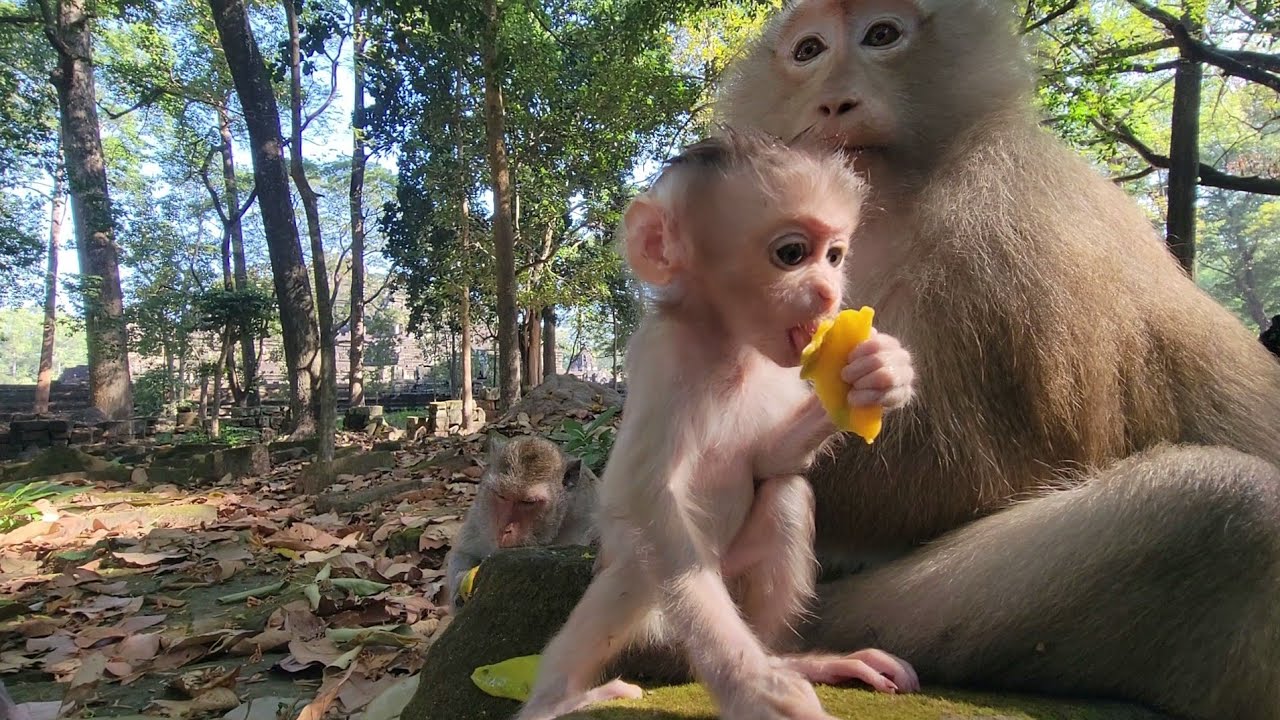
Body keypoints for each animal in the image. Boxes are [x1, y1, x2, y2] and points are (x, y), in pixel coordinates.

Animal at [444, 434, 599, 610]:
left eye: (528, 502)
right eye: (501, 496)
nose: (505, 529)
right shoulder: (480, 515)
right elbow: (463, 552)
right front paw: (459, 584)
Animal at [514, 130, 918, 720]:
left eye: (835, 256)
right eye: (792, 254)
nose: (828, 292)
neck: (730, 347)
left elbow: (768, 461)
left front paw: (879, 373)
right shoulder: (666, 356)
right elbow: (646, 499)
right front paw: (752, 685)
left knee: (787, 495)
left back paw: (795, 661)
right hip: (672, 616)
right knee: (641, 569)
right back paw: (557, 701)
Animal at [712, 2, 1280, 719]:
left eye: (881, 35)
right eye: (809, 50)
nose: (835, 100)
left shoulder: (1005, 223)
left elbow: (983, 472)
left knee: (1234, 513)